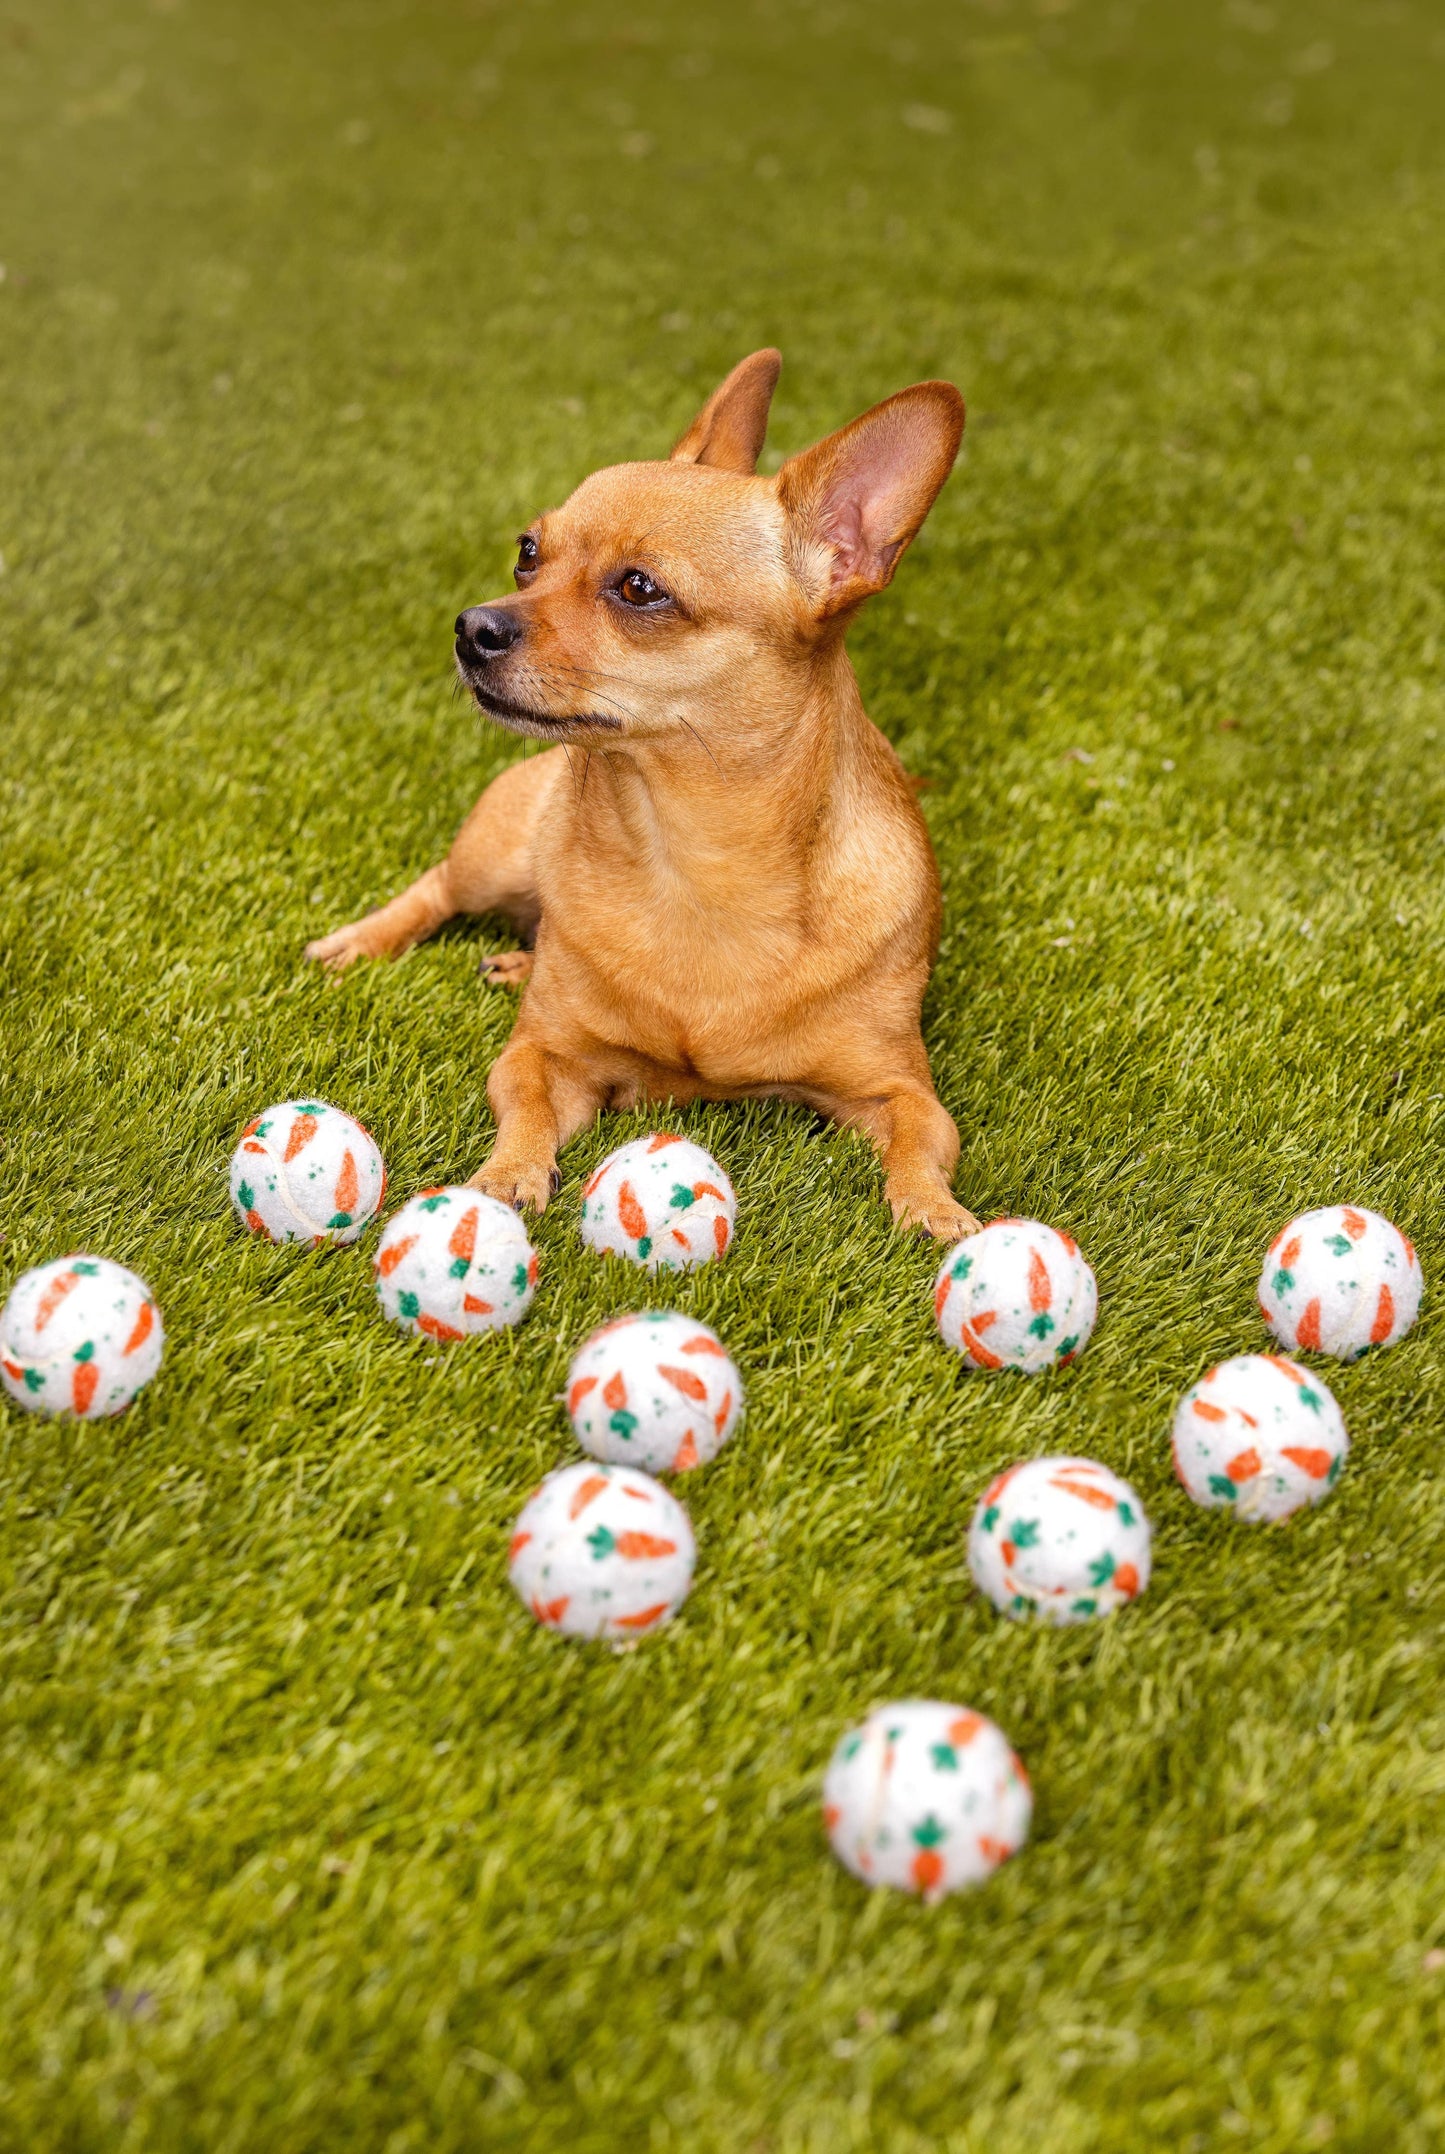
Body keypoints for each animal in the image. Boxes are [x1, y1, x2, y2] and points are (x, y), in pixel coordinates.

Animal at [305, 355, 981, 1249]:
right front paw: (500, 1182)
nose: (471, 625)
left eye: (638, 588)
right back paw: (363, 943)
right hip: (494, 858)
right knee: (437, 888)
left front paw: (938, 1213)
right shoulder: (539, 1061)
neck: (691, 862)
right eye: (527, 553)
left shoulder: (899, 1090)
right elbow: (523, 1105)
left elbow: (919, 1144)